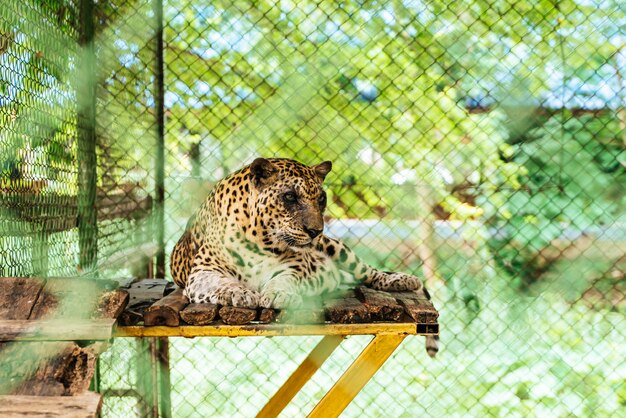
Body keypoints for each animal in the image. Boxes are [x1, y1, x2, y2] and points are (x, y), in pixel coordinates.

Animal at [168, 158, 436, 356]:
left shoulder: (294, 266)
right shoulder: (203, 271)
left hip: (339, 249)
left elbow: (283, 280)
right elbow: (222, 283)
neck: (259, 238)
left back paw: (402, 280)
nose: (315, 231)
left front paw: (279, 293)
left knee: (368, 272)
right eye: (289, 197)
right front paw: (240, 293)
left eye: (321, 199)